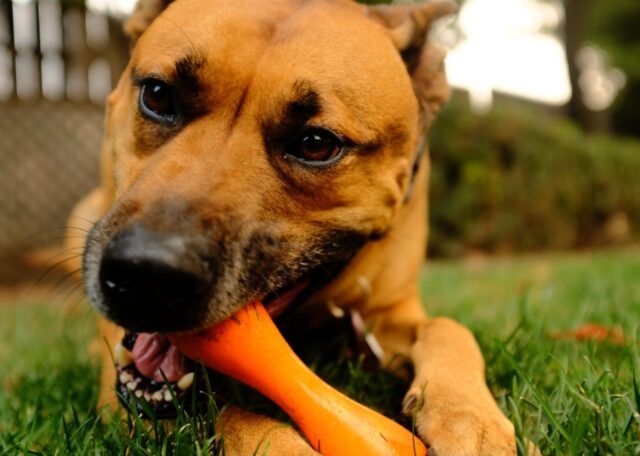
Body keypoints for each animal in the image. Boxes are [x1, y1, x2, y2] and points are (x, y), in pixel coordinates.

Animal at [66, 1, 516, 454]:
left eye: (316, 144)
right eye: (158, 95)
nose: (148, 275)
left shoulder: (389, 313)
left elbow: (449, 328)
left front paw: (469, 416)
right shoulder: (125, 403)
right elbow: (229, 416)